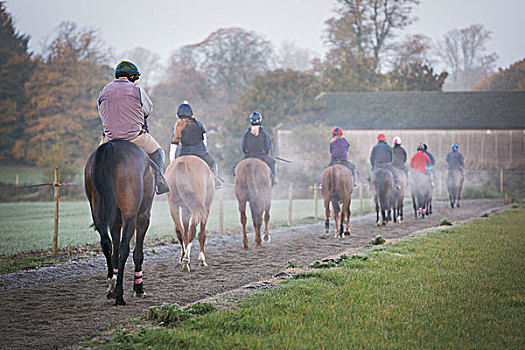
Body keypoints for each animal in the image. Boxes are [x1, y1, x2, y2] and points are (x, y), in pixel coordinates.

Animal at [83, 141, 154, 304]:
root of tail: (111, 146)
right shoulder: (143, 216)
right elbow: (137, 252)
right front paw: (138, 288)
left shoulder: (115, 220)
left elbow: (114, 249)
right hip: (130, 215)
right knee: (124, 248)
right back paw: (119, 293)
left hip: (98, 212)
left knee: (106, 243)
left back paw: (112, 283)